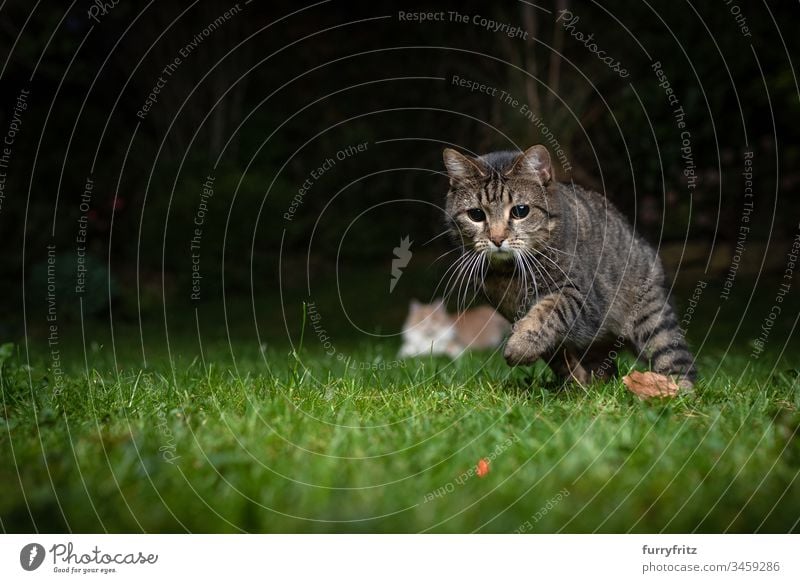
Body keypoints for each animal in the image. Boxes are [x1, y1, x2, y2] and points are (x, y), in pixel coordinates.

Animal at [440, 145, 696, 392]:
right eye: (476, 214)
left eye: (520, 211)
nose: (496, 238)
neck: (510, 274)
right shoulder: (513, 312)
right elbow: (557, 355)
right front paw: (575, 383)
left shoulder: (581, 296)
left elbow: (548, 312)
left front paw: (520, 346)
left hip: (653, 321)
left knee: (679, 363)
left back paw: (676, 393)